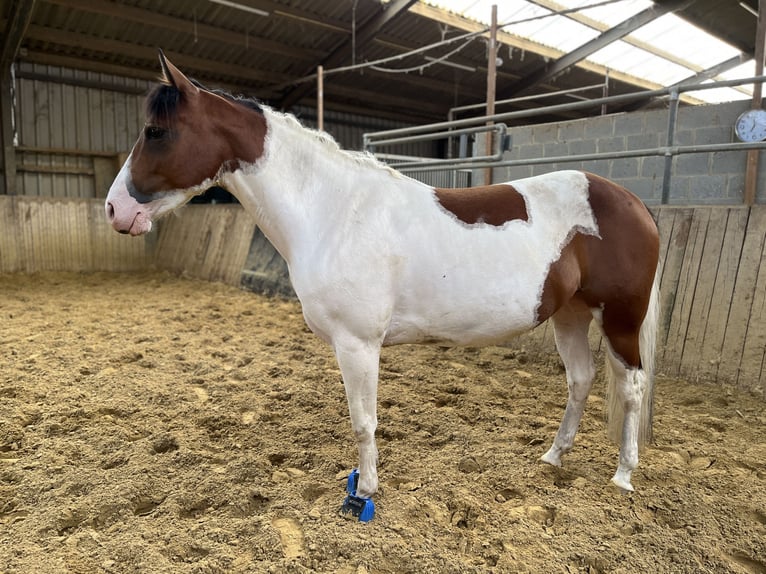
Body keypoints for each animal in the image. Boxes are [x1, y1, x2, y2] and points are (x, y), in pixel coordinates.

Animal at [105, 52, 661, 515]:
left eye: (155, 131)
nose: (115, 209)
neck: (333, 211)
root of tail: (632, 202)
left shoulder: (357, 344)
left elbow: (363, 422)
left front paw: (365, 492)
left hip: (620, 320)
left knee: (631, 386)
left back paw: (623, 476)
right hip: (570, 314)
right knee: (581, 379)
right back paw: (553, 457)